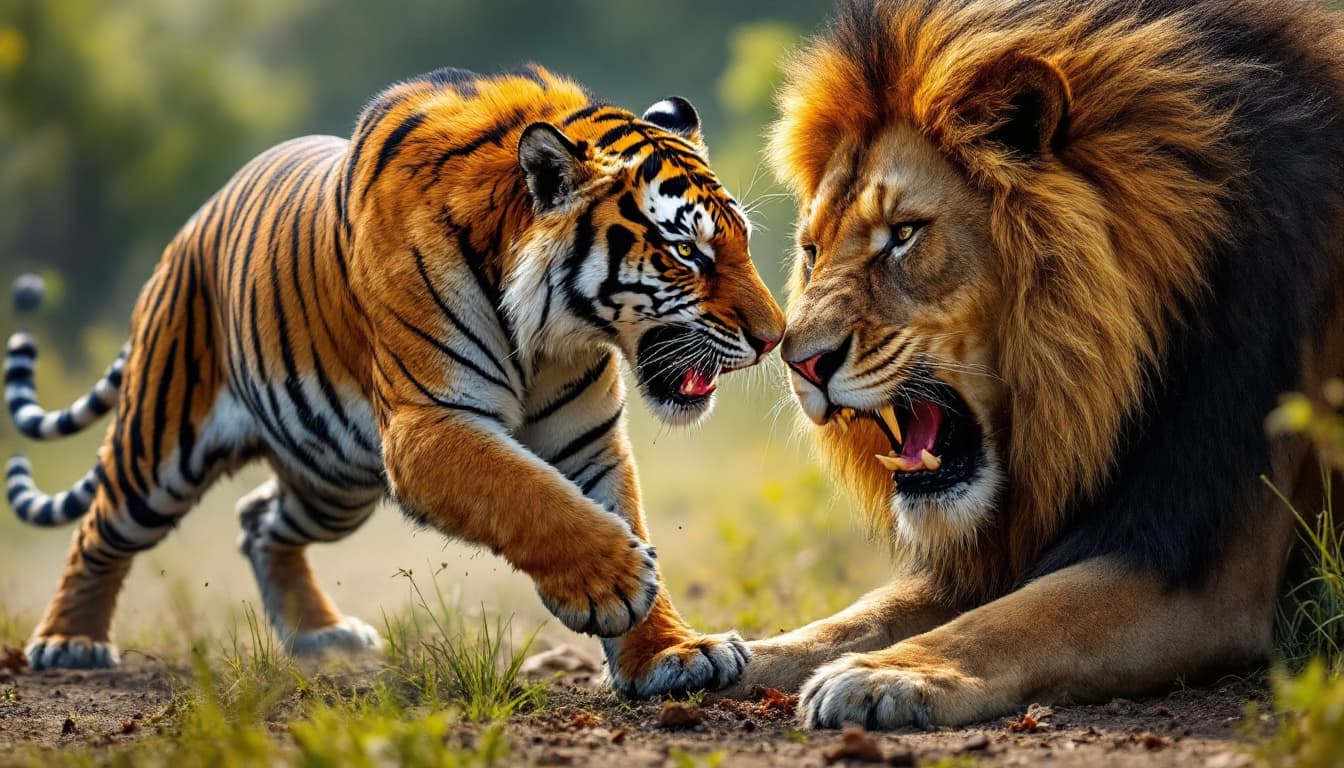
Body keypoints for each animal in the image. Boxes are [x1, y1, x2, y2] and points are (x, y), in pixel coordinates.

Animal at [3, 63, 785, 698]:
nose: (774, 338)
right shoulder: (428, 424)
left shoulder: (585, 440)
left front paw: (671, 654)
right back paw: (71, 642)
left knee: (259, 521)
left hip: (332, 478)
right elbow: (532, 496)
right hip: (161, 445)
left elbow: (610, 511)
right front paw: (616, 583)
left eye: (741, 242)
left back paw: (319, 634)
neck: (550, 332)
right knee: (101, 529)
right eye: (686, 252)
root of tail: (193, 223)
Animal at [731, 0, 1344, 728]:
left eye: (904, 234)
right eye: (812, 251)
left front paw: (885, 675)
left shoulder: (1208, 568)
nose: (799, 362)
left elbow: (1021, 619)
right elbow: (862, 614)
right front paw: (713, 655)